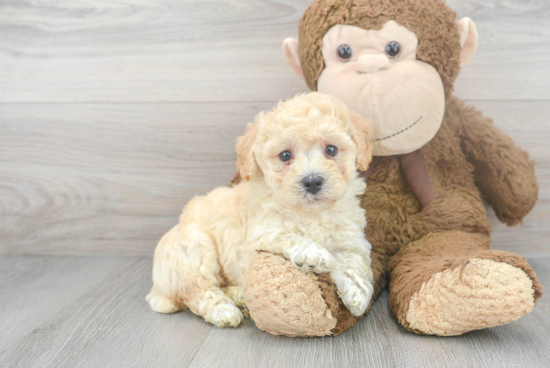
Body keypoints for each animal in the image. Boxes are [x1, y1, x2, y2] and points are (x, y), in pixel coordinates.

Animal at [147, 92, 376, 328]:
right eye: (285, 155)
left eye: (331, 149)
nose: (312, 182)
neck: (310, 213)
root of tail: (157, 289)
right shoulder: (260, 233)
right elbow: (289, 235)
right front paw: (315, 254)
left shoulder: (350, 238)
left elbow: (355, 261)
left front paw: (358, 295)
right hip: (192, 246)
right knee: (197, 290)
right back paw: (224, 311)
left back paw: (240, 298)